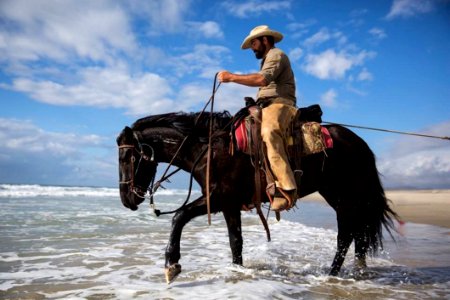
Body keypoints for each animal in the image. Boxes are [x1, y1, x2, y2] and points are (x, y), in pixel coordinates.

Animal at [118, 110, 400, 284]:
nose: (126, 200)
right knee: (358, 234)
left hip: (345, 197)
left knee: (346, 235)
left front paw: (172, 265)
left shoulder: (219, 198)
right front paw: (237, 270)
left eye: (127, 157)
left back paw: (332, 275)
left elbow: (179, 216)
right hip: (343, 196)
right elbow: (235, 241)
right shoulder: (227, 203)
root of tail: (360, 143)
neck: (209, 149)